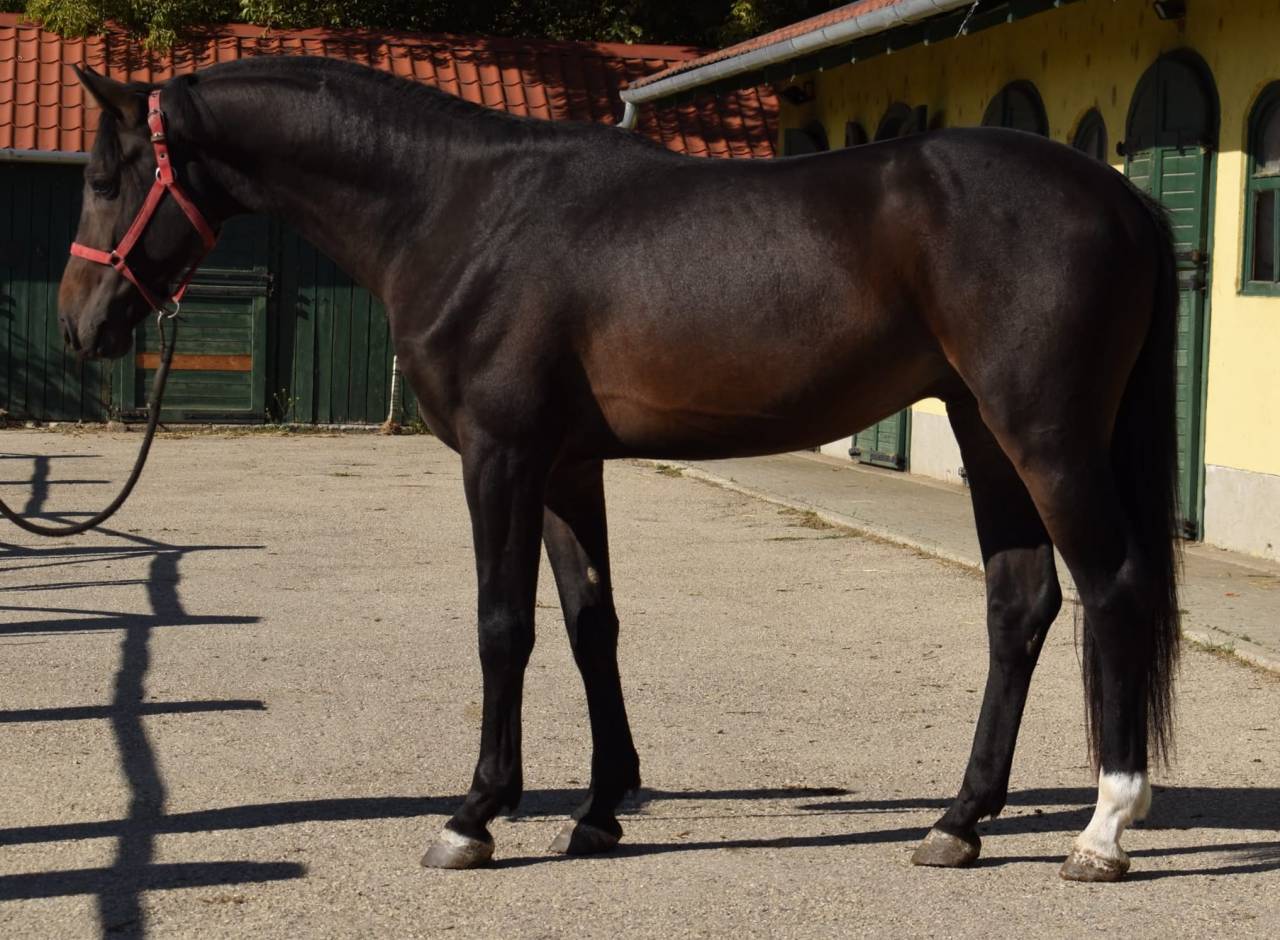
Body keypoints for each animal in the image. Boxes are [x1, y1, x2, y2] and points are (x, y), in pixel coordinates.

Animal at [57, 56, 1180, 882]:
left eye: (107, 177)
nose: (81, 324)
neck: (459, 209)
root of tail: (1120, 197)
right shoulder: (564, 467)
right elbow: (589, 623)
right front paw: (598, 811)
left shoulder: (500, 457)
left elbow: (502, 628)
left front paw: (473, 815)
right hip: (985, 435)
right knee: (1019, 604)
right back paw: (958, 820)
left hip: (1044, 436)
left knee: (1112, 587)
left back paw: (1103, 829)